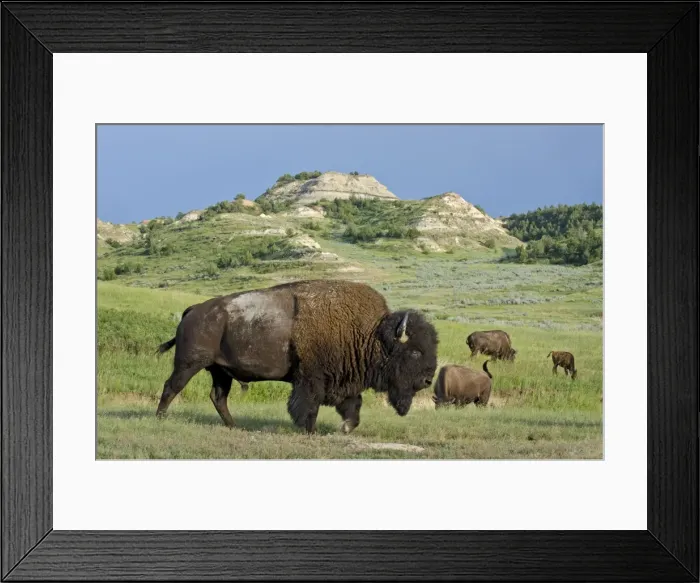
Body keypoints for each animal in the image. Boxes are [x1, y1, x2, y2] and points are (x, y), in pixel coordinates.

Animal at [155, 279, 439, 434]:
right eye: (415, 351)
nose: (428, 380)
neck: (371, 334)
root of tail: (194, 310)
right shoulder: (311, 379)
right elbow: (308, 405)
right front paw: (310, 430)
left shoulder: (344, 383)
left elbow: (352, 406)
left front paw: (345, 428)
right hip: (189, 364)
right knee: (171, 387)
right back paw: (160, 418)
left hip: (220, 371)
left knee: (218, 397)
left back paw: (233, 425)